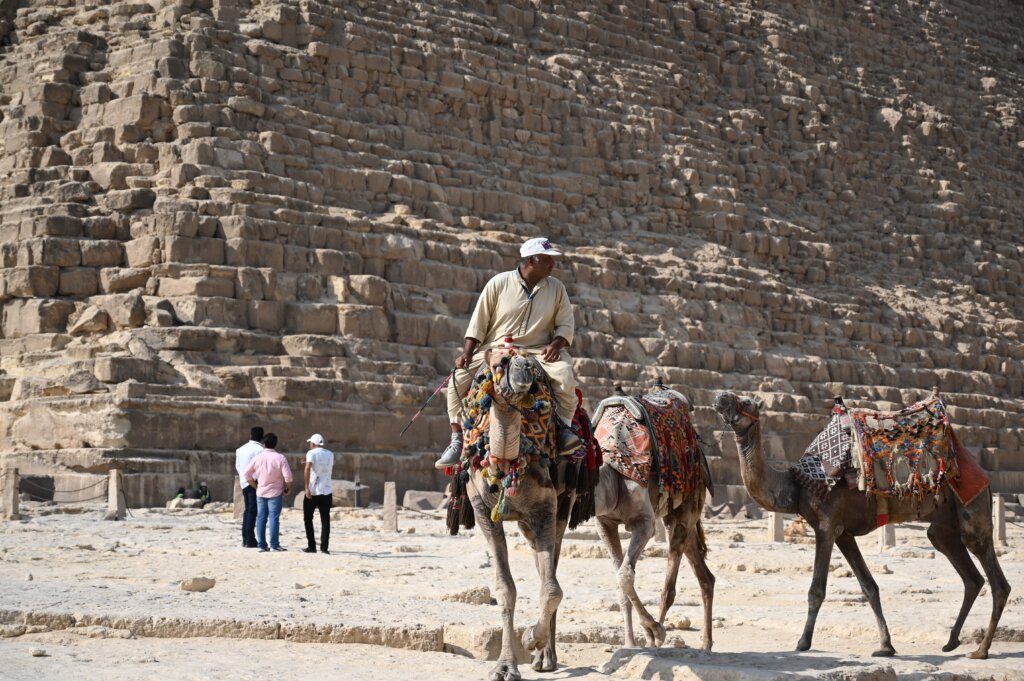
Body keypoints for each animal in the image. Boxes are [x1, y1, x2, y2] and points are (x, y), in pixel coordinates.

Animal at [450, 350, 598, 679]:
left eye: (529, 366)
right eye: (497, 364)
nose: (525, 369)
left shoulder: (547, 508)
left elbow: (552, 589)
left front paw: (531, 638)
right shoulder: (482, 509)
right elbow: (506, 589)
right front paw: (505, 666)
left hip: (562, 506)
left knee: (550, 570)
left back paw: (546, 656)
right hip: (525, 522)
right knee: (540, 563)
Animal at [589, 387, 716, 647]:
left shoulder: (644, 523)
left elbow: (625, 575)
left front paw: (653, 630)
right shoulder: (604, 523)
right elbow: (620, 577)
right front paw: (630, 643)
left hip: (689, 503)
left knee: (670, 582)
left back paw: (660, 638)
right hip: (680, 518)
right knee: (705, 576)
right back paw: (705, 645)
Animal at [716, 393, 1011, 659]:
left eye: (746, 401)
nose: (720, 398)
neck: (797, 487)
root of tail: (985, 479)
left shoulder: (826, 524)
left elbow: (816, 590)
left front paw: (802, 642)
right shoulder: (844, 533)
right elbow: (869, 587)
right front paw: (886, 646)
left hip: (972, 509)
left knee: (998, 582)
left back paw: (981, 650)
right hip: (943, 529)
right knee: (972, 578)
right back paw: (951, 642)